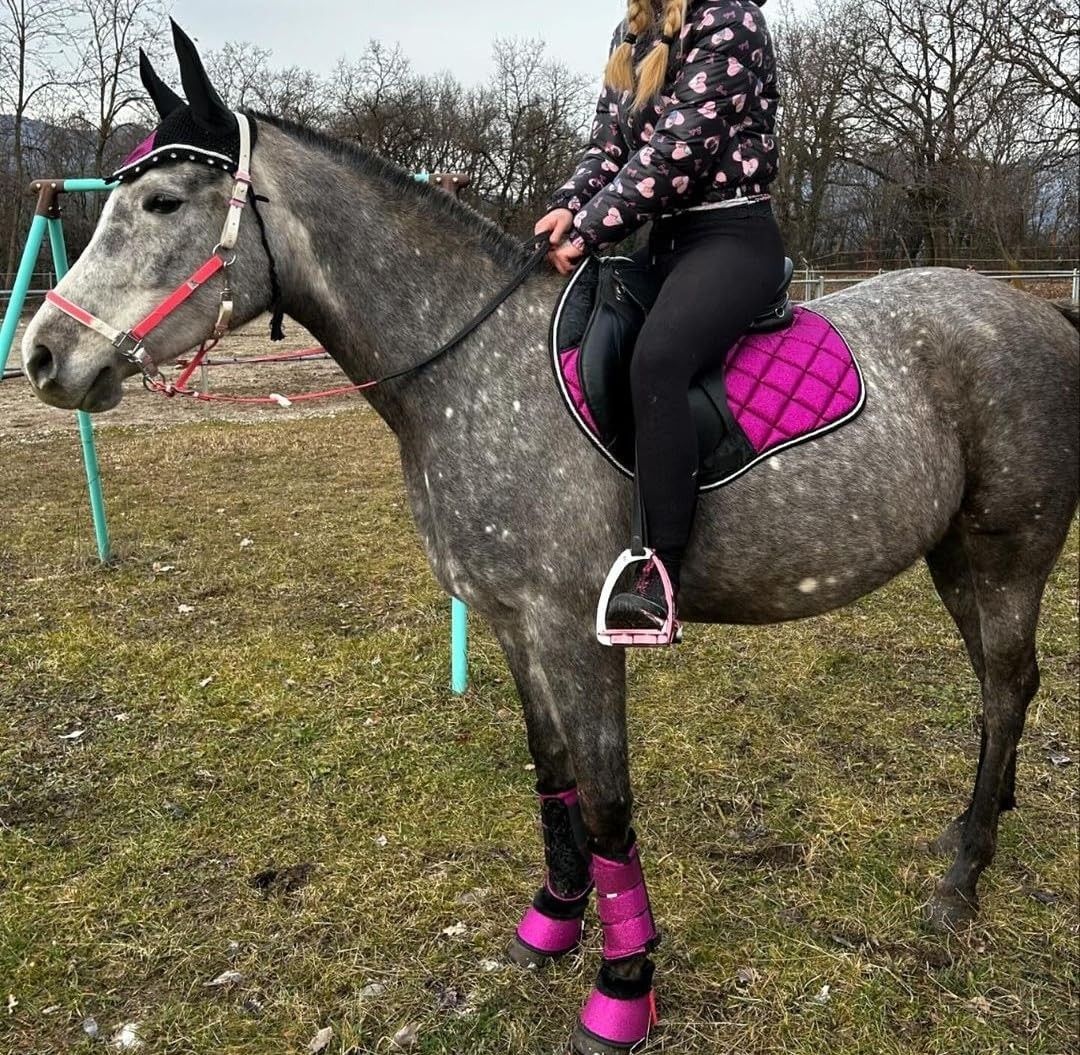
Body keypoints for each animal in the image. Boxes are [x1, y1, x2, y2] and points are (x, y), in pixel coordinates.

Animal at [21, 27, 1079, 1055]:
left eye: (162, 200)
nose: (44, 356)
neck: (472, 364)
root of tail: (1040, 313)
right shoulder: (509, 621)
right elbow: (553, 774)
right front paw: (555, 922)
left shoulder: (578, 629)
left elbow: (608, 800)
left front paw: (623, 988)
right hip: (955, 556)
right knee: (1002, 687)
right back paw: (974, 828)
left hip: (1008, 553)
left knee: (1005, 686)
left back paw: (963, 875)